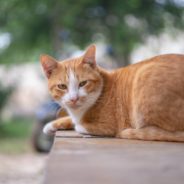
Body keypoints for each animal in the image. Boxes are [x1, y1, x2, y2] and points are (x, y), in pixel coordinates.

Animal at [40, 45, 184, 142]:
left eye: (83, 83)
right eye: (62, 86)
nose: (74, 98)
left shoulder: (108, 127)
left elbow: (79, 126)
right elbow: (71, 119)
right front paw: (51, 125)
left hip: (144, 75)